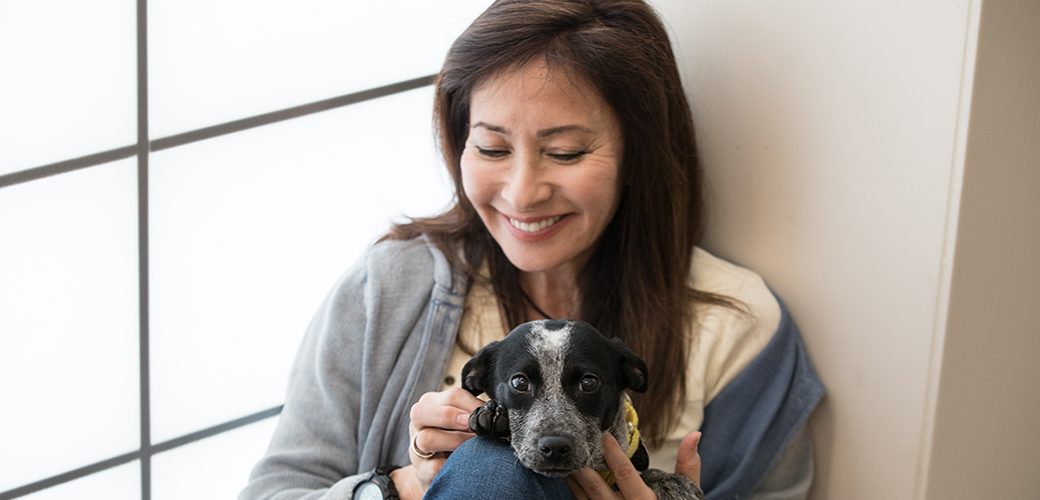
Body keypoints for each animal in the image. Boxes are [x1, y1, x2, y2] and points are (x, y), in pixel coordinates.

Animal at [463, 320, 707, 498]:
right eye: (519, 382)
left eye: (588, 382)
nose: (555, 447)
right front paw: (490, 415)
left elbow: (648, 472)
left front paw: (669, 481)